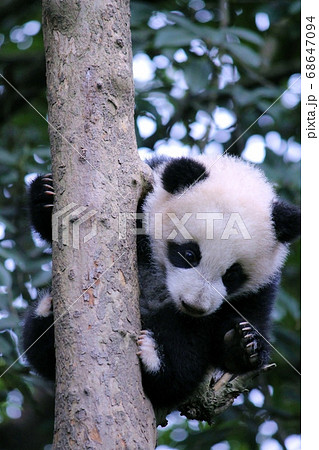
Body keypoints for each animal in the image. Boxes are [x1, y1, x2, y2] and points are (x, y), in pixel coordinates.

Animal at [22, 156, 300, 412]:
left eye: (232, 275)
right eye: (189, 254)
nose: (194, 306)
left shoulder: (258, 291)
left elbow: (242, 326)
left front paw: (242, 343)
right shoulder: (143, 201)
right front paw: (46, 194)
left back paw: (155, 361)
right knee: (37, 347)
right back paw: (47, 313)